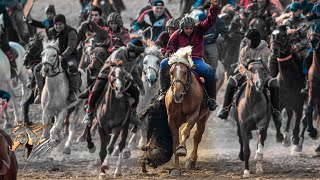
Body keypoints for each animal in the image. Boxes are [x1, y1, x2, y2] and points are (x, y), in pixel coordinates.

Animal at [165, 46, 210, 176]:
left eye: (185, 72)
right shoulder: (171, 119)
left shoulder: (193, 115)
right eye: (171, 72)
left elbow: (185, 131)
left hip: (203, 118)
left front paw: (181, 149)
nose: (177, 95)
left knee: (197, 136)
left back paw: (191, 161)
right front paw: (175, 168)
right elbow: (175, 142)